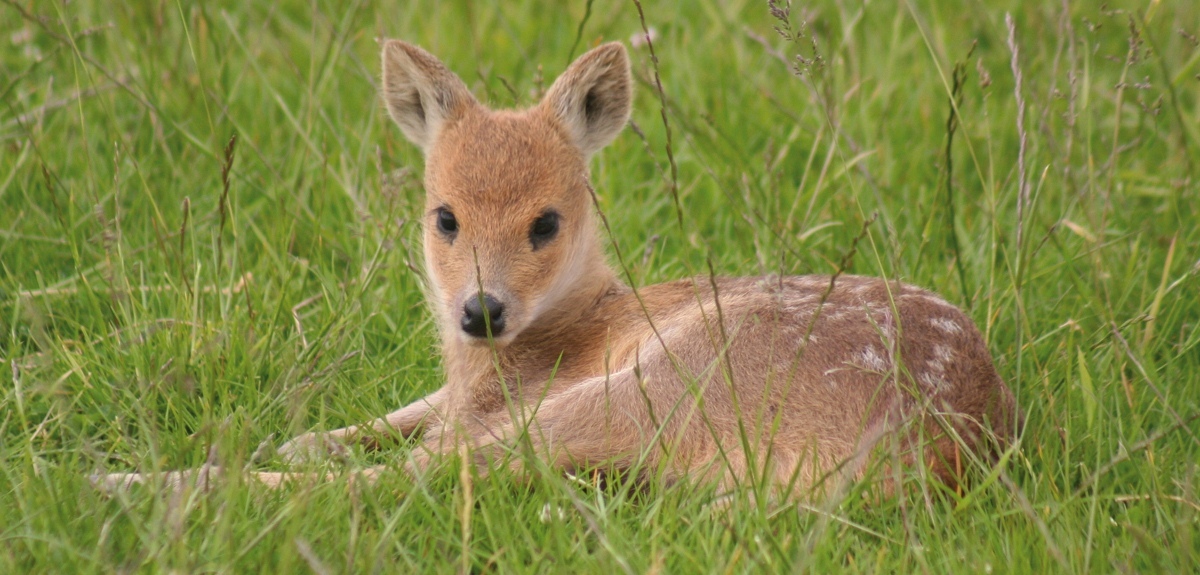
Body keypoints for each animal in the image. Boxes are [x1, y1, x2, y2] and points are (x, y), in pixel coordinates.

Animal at [98, 40, 1022, 501]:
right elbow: (403, 409)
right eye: (444, 216)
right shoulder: (460, 385)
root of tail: (924, 459)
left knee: (433, 473)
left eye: (546, 220)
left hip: (667, 385)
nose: (481, 309)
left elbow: (429, 435)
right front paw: (301, 430)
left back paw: (125, 481)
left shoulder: (518, 389)